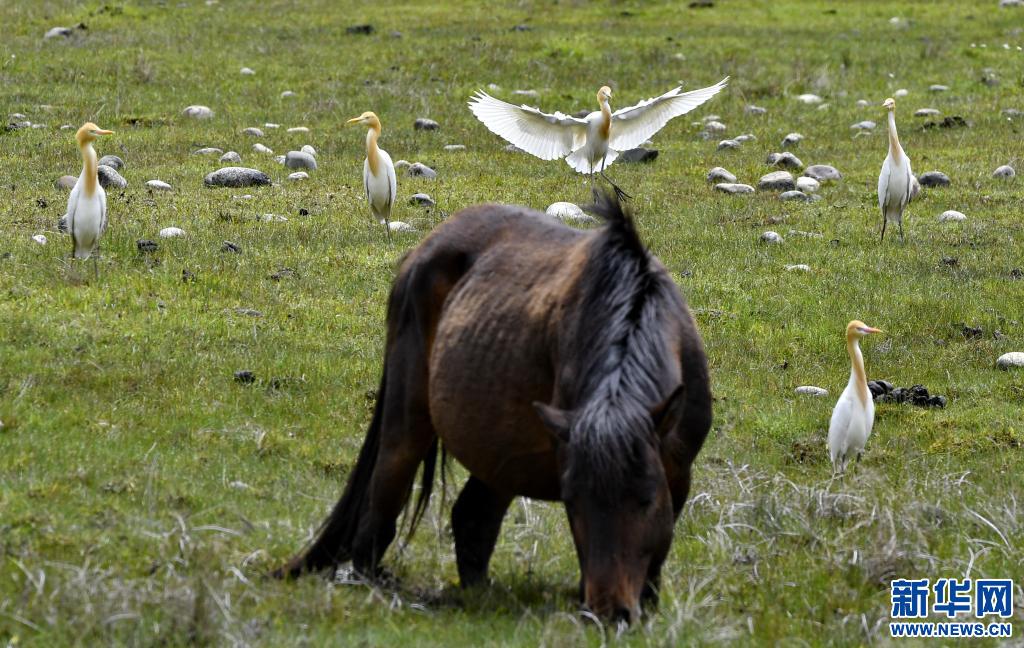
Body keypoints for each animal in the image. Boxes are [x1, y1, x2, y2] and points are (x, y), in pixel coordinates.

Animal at [276, 191, 713, 624]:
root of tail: (421, 250)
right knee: (381, 510)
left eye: (646, 499)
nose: (610, 613)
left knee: (472, 516)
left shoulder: (676, 472)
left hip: (502, 452)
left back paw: (480, 594)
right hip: (411, 422)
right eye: (574, 503)